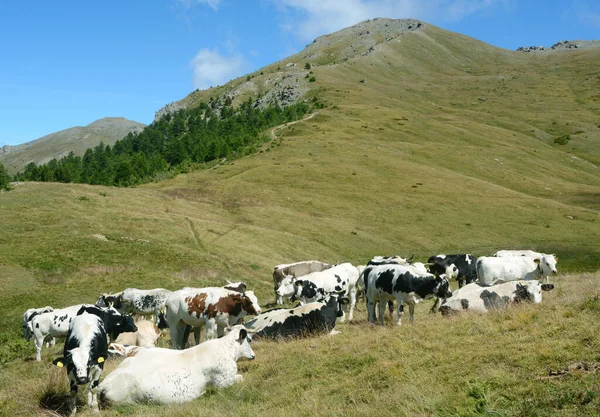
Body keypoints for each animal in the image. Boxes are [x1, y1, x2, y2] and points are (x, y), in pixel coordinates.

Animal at [98, 324, 255, 404]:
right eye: (249, 339)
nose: (253, 355)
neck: (225, 348)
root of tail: (102, 386)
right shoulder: (224, 381)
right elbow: (240, 378)